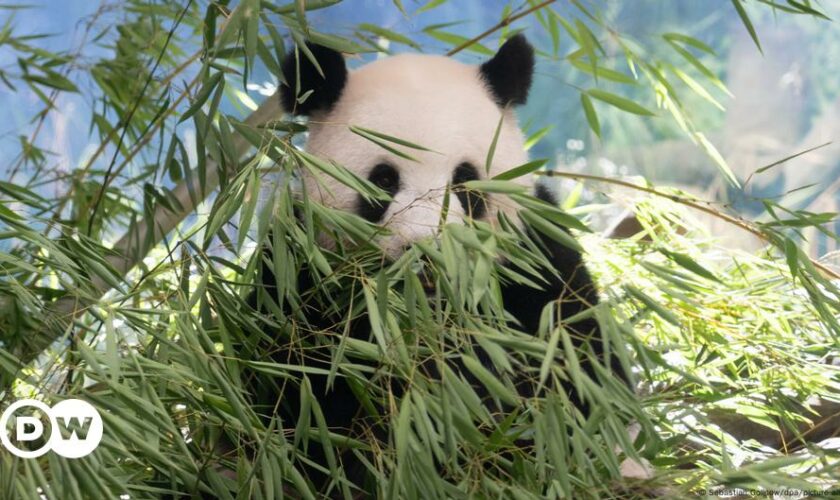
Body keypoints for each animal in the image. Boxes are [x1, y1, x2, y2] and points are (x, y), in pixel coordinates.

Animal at [246, 34, 632, 496]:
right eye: (384, 179)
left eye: (464, 181)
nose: (427, 253)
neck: (430, 311)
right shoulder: (298, 273)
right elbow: (303, 392)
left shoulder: (537, 258)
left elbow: (576, 376)